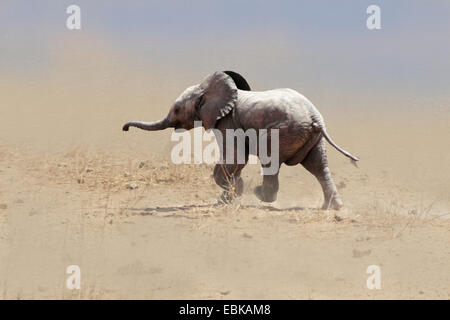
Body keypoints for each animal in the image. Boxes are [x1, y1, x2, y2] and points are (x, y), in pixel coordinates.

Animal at [123, 70, 358, 210]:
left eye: (177, 110)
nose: (124, 128)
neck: (207, 89)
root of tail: (315, 117)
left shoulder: (227, 121)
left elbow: (235, 158)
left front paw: (232, 195)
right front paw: (232, 193)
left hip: (284, 131)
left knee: (271, 161)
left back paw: (261, 195)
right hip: (311, 137)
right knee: (318, 166)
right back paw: (332, 208)